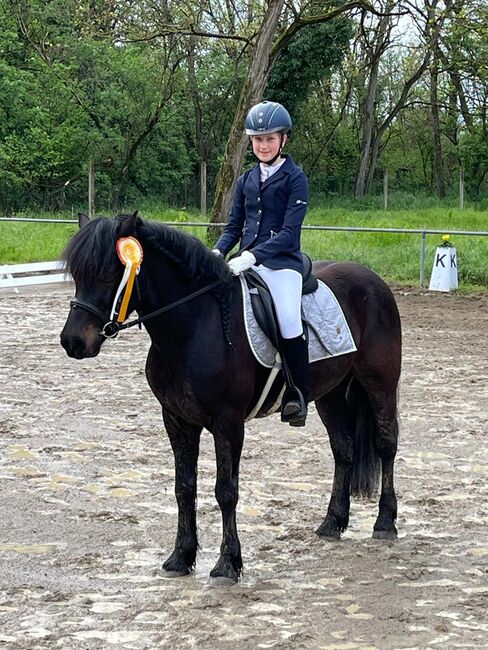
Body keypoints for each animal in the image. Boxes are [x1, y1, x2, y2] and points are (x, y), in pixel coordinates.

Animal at [60, 213, 400, 584]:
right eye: (77, 275)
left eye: (110, 274)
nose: (72, 342)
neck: (194, 324)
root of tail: (371, 277)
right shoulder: (177, 420)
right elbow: (184, 488)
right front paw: (181, 557)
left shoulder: (228, 424)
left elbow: (226, 491)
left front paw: (228, 563)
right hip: (332, 392)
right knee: (344, 448)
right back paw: (332, 523)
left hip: (380, 383)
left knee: (386, 444)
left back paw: (385, 523)